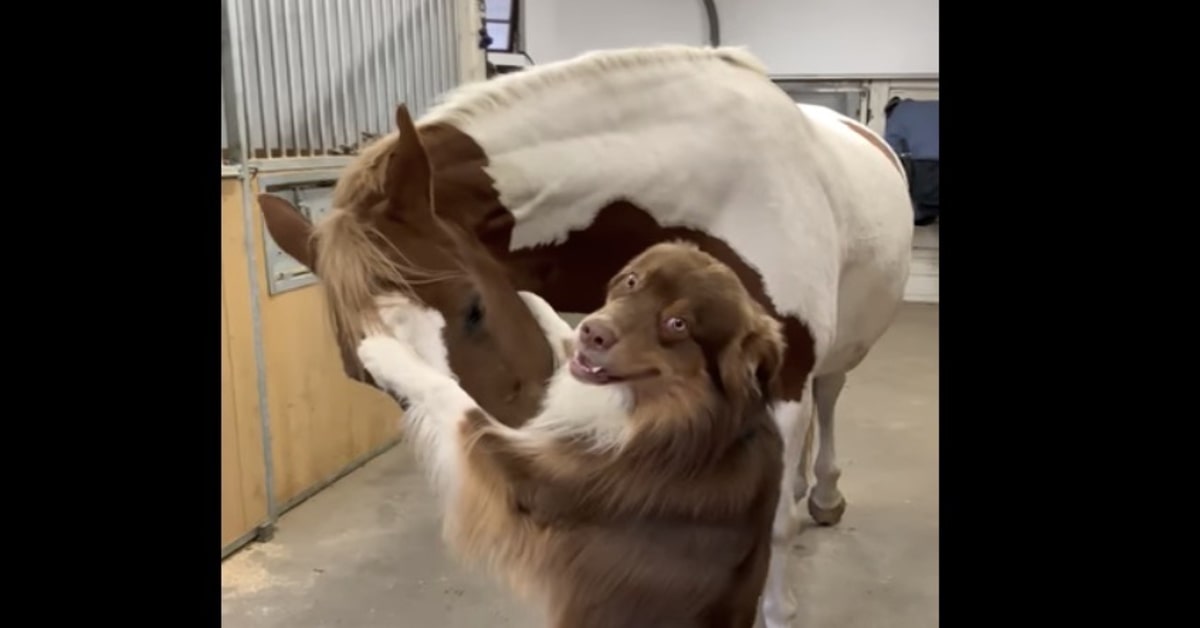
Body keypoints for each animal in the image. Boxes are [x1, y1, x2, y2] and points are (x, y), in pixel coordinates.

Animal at [355, 242, 787, 628]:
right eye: (632, 280)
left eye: (677, 324)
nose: (594, 332)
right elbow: (560, 338)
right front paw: (531, 300)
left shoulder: (534, 484)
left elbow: (452, 395)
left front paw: (388, 350)